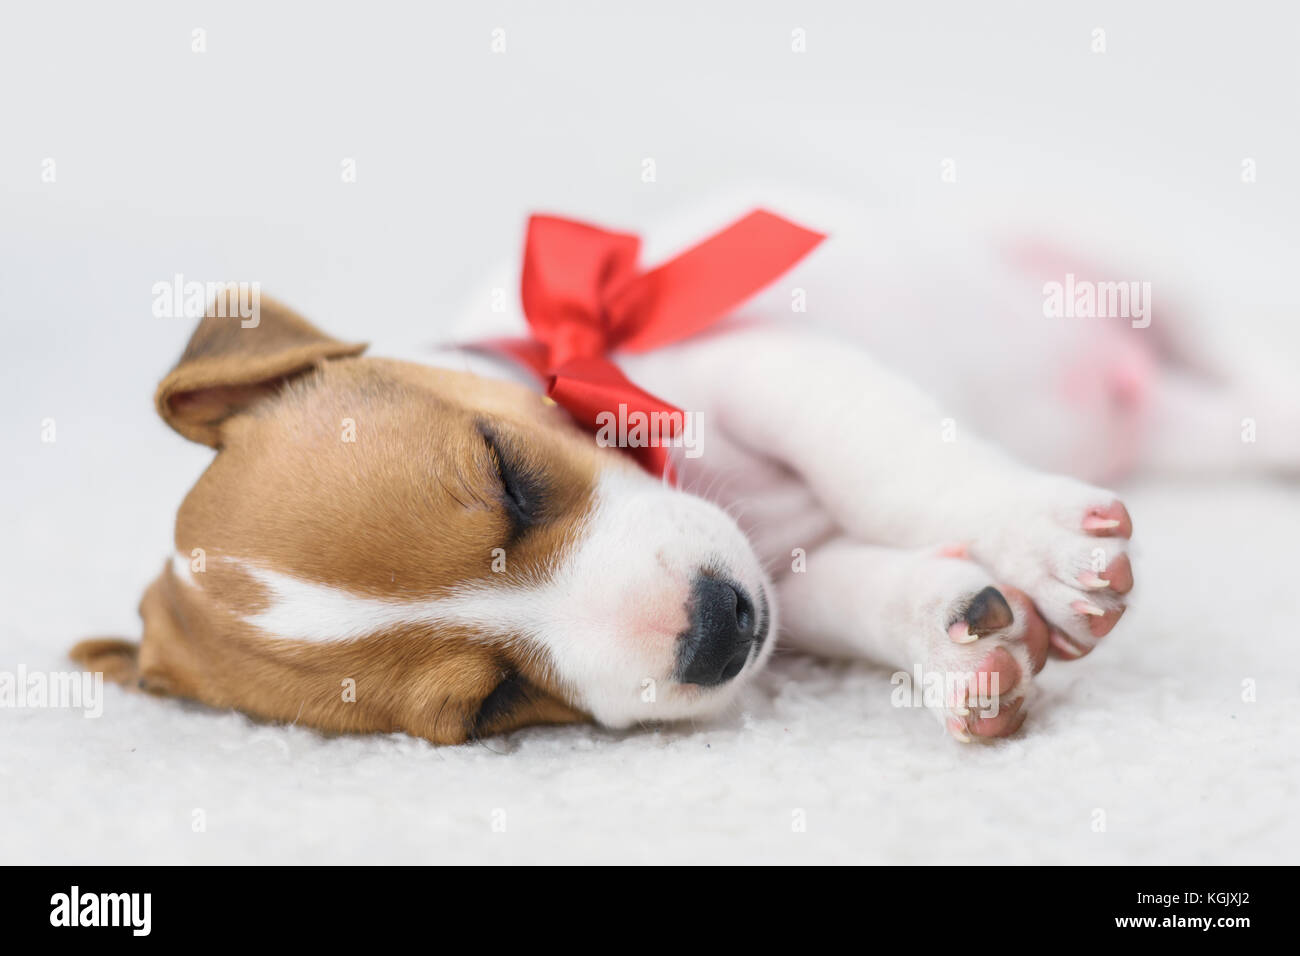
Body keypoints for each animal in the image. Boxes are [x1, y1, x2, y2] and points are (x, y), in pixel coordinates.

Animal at [73, 196, 1300, 749]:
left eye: (506, 473)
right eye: (488, 705)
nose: (715, 632)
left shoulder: (769, 362)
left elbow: (889, 455)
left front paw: (1034, 539)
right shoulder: (790, 580)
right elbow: (863, 588)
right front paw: (963, 638)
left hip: (1131, 265)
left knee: (1221, 336)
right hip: (1178, 423)